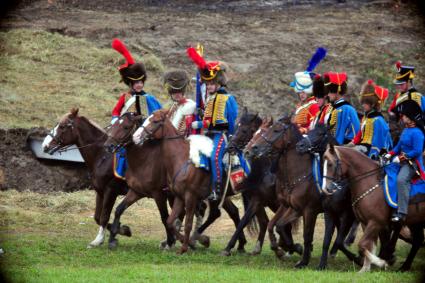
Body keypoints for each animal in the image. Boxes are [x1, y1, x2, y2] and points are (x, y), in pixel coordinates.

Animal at [42, 108, 130, 248]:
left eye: (62, 126)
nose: (44, 145)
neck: (103, 156)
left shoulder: (111, 191)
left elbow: (104, 216)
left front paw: (98, 240)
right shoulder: (100, 191)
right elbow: (97, 217)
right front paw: (122, 230)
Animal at [222, 110, 302, 258]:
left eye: (245, 130)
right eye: (236, 128)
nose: (229, 147)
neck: (267, 170)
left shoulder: (279, 203)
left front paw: (290, 247)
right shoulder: (257, 199)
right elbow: (244, 221)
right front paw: (228, 247)